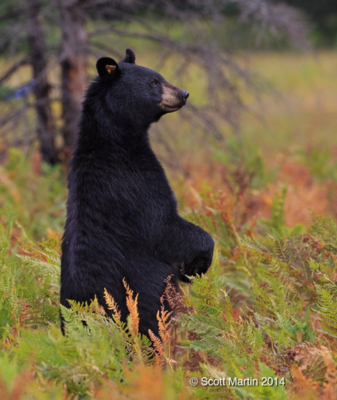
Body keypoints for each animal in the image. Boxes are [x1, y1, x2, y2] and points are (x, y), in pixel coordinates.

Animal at [60, 48, 213, 340]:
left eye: (159, 77)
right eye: (154, 82)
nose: (184, 93)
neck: (115, 143)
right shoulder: (134, 184)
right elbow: (163, 227)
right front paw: (198, 262)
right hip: (143, 308)